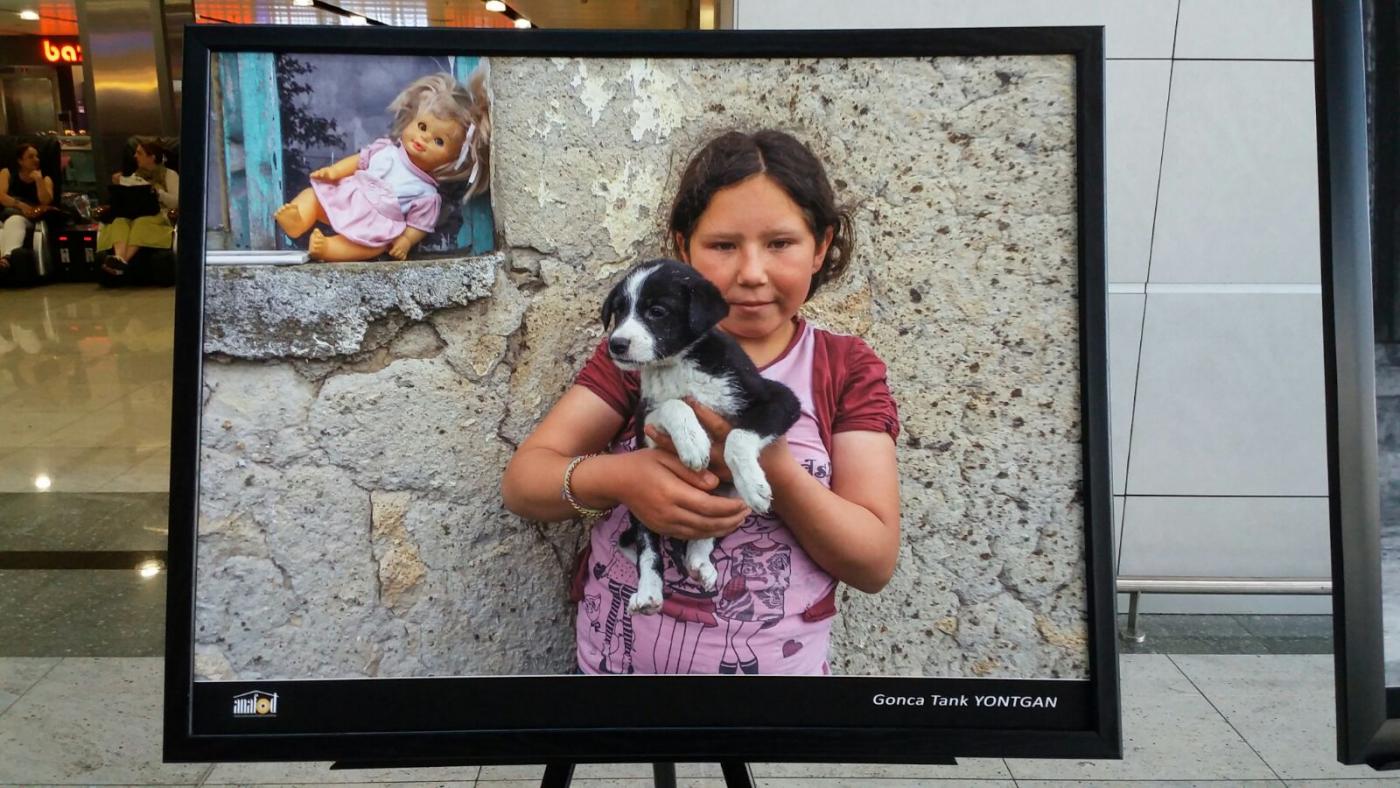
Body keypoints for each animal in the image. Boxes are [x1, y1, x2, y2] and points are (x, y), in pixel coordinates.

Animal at [599, 258, 800, 615]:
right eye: (619, 311)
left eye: (657, 311)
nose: (616, 344)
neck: (678, 363)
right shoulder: (647, 423)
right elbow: (674, 404)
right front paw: (693, 440)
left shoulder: (779, 399)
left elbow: (737, 437)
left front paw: (753, 484)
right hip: (641, 504)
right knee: (648, 548)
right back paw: (649, 592)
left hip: (727, 505)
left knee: (704, 534)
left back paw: (699, 563)